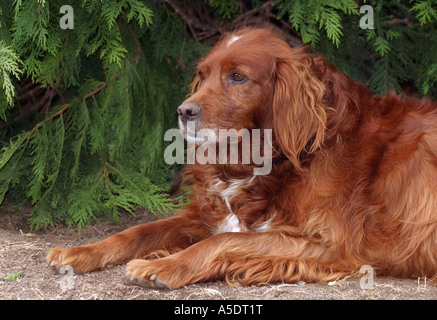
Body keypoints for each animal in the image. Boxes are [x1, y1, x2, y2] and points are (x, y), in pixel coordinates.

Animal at [47, 28, 436, 288]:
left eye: (238, 77)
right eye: (202, 74)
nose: (183, 111)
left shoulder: (331, 246)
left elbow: (222, 241)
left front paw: (164, 266)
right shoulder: (206, 216)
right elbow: (136, 231)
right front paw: (79, 251)